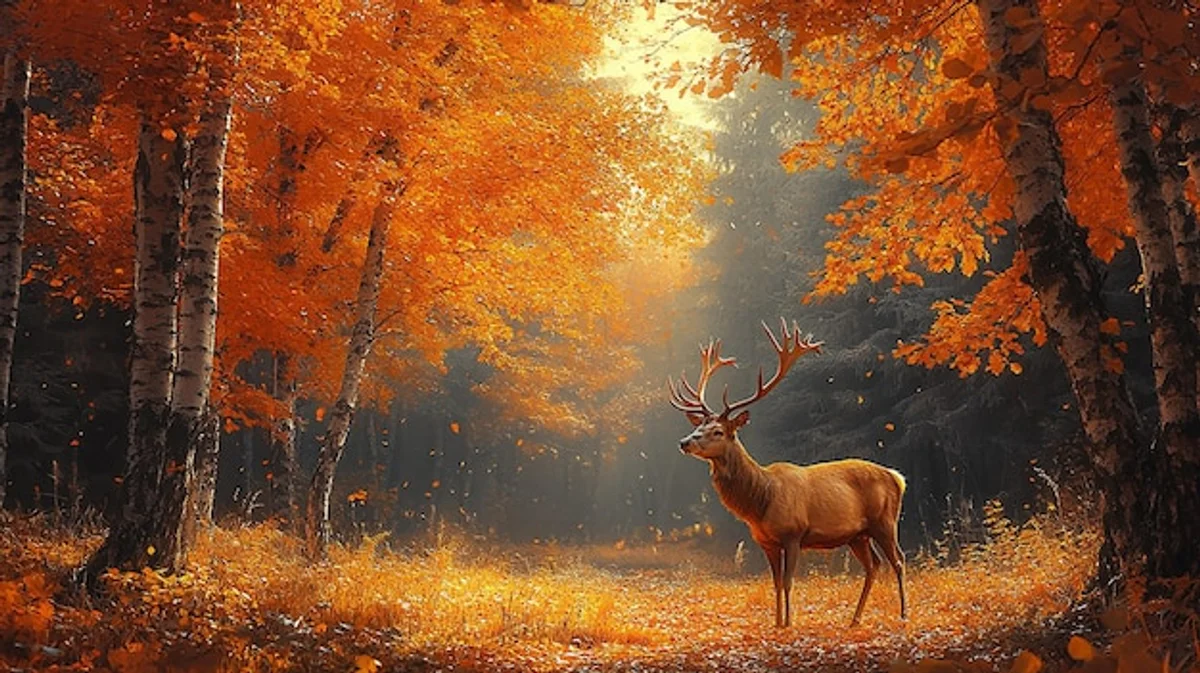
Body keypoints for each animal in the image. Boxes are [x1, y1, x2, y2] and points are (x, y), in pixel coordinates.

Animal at [668, 319, 907, 628]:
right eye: (699, 426)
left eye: (718, 431)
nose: (685, 442)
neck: (762, 499)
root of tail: (897, 477)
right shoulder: (767, 542)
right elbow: (776, 583)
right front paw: (777, 622)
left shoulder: (794, 534)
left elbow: (789, 581)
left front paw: (789, 623)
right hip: (858, 534)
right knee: (874, 565)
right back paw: (855, 619)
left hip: (885, 520)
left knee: (898, 560)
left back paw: (903, 614)